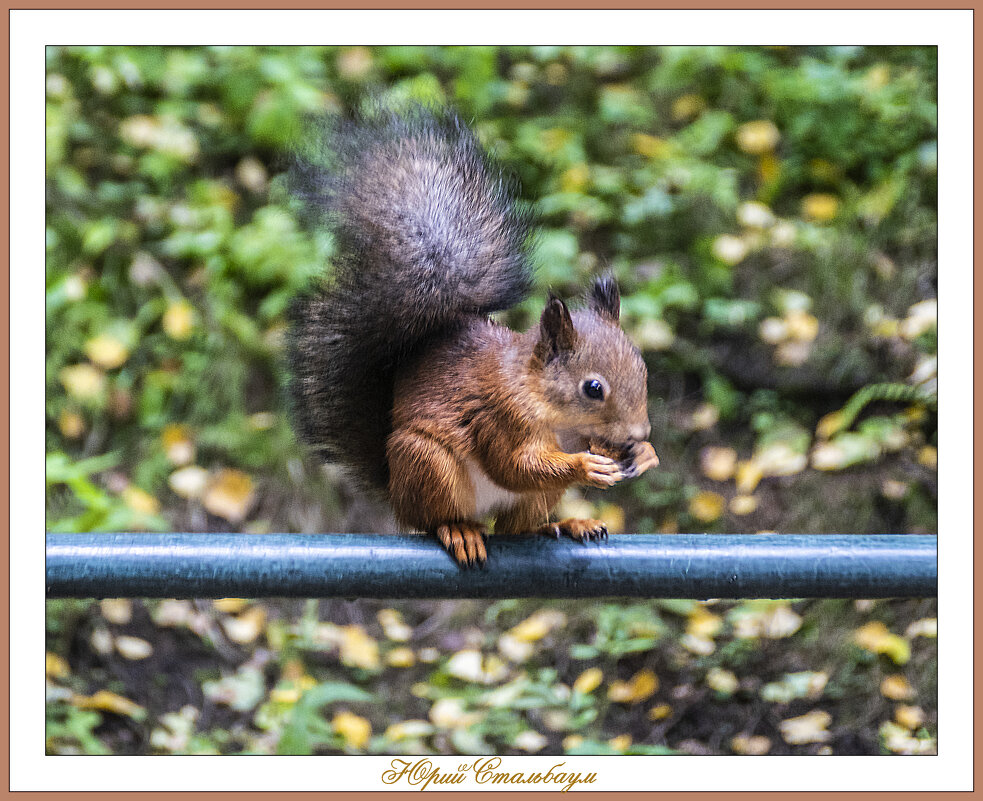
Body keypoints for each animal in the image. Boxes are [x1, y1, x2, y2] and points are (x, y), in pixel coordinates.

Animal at [288, 106, 656, 564]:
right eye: (593, 388)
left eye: (643, 371)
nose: (640, 433)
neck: (548, 406)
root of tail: (394, 490)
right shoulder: (499, 417)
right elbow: (514, 466)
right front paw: (585, 466)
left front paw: (644, 455)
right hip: (428, 463)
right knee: (436, 519)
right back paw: (460, 530)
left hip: (533, 498)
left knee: (519, 529)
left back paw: (568, 524)